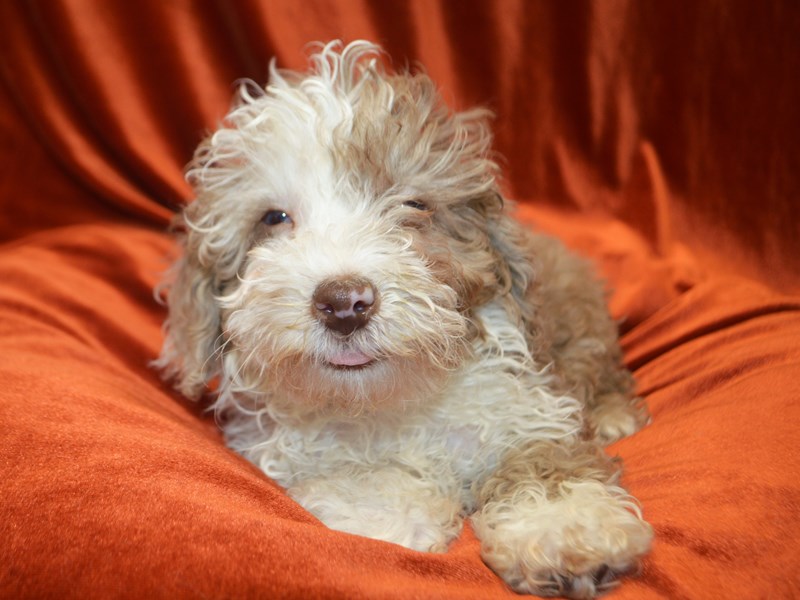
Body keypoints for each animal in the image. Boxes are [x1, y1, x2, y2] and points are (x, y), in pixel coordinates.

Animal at [156, 39, 648, 596]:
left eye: (413, 205)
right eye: (273, 218)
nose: (344, 303)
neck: (385, 403)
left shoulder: (523, 407)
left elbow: (546, 459)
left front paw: (564, 528)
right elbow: (372, 486)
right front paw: (382, 514)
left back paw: (613, 417)